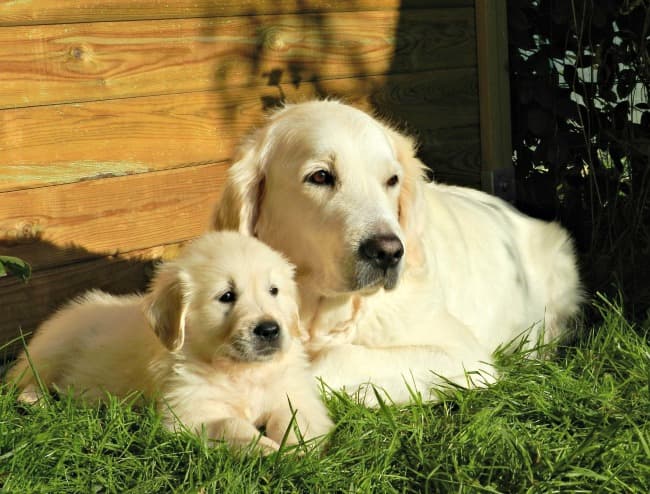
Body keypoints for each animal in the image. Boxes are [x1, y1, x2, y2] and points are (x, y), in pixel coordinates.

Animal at [8, 232, 334, 452]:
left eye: (274, 291)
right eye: (227, 296)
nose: (269, 329)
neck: (239, 371)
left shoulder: (294, 394)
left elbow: (293, 418)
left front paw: (297, 450)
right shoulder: (188, 413)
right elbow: (232, 424)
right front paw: (268, 450)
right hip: (52, 347)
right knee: (22, 378)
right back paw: (34, 399)